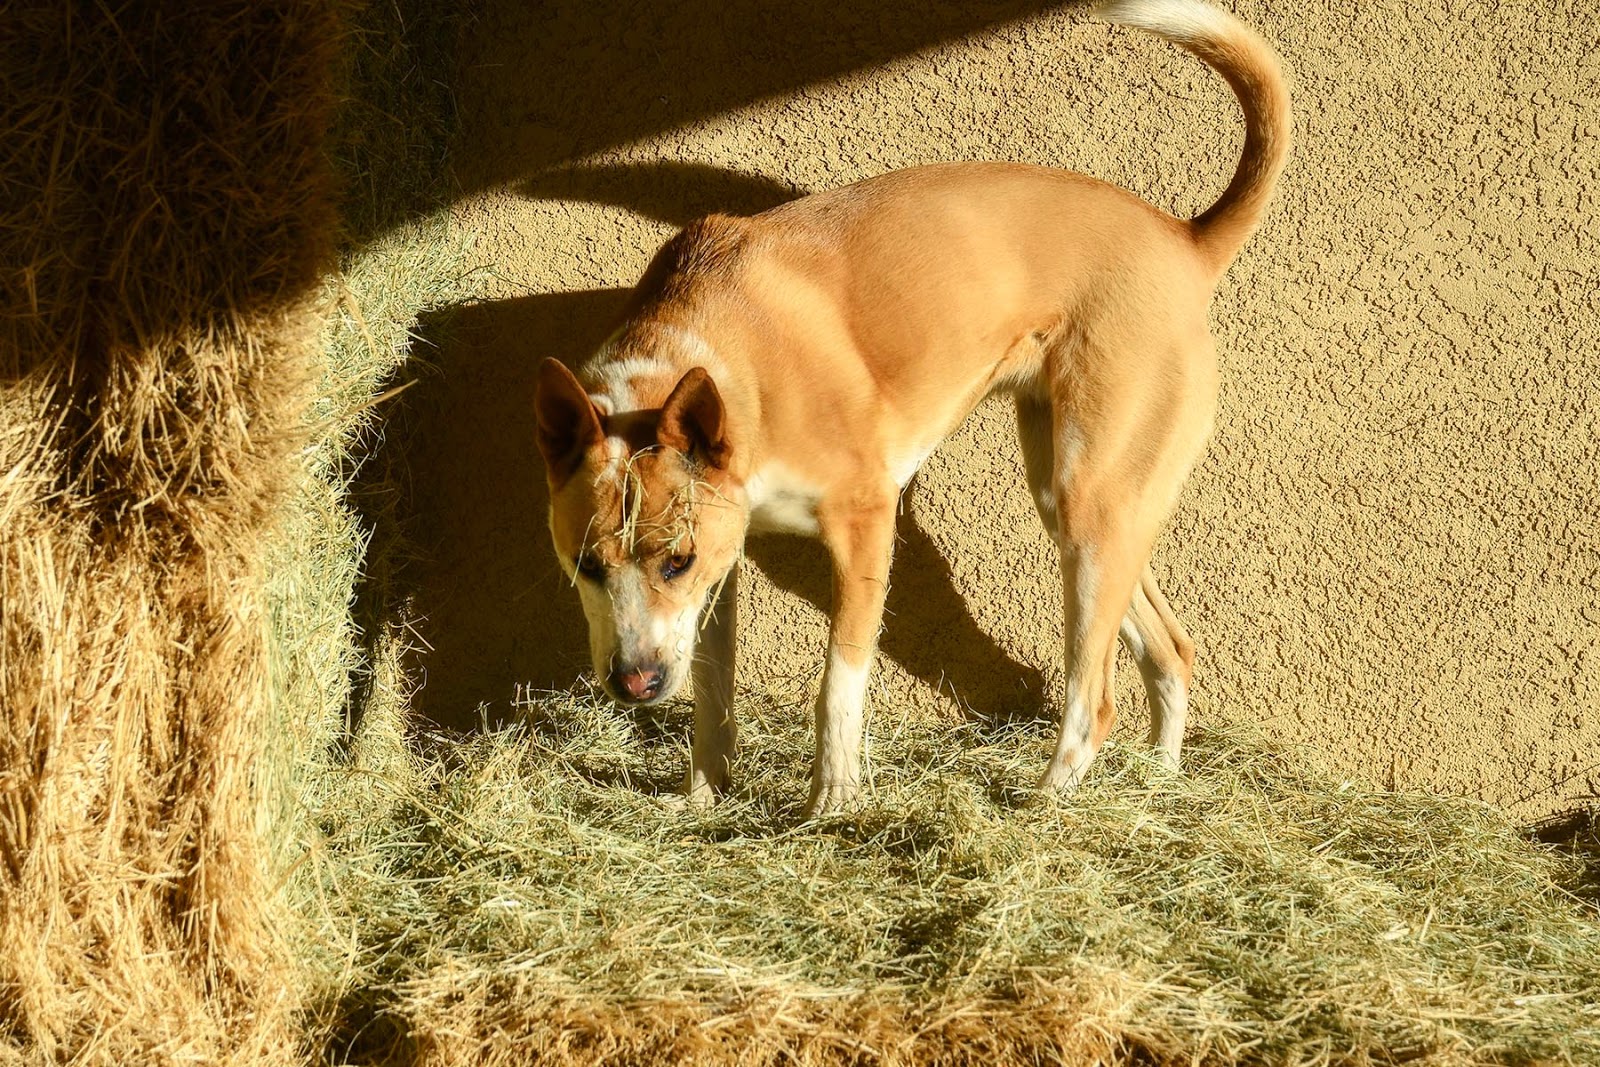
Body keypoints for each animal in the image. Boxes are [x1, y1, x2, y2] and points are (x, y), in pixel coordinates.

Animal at [534, 0, 1290, 817]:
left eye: (674, 561)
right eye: (584, 564)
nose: (633, 684)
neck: (724, 359)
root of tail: (1185, 241)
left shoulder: (863, 525)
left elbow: (837, 687)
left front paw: (831, 806)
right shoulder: (723, 553)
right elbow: (710, 689)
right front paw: (704, 801)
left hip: (1092, 502)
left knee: (1094, 698)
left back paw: (1042, 806)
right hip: (1083, 502)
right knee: (1171, 651)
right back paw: (1159, 785)